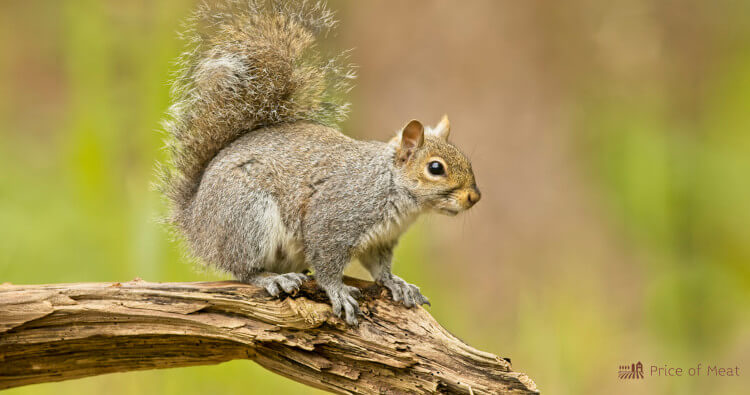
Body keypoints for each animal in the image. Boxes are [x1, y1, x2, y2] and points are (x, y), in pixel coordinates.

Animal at [160, 1, 482, 326]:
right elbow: (327, 262)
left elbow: (379, 268)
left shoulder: (380, 241)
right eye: (435, 168)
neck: (390, 188)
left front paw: (395, 283)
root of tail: (196, 222)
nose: (474, 197)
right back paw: (272, 279)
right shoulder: (333, 217)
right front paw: (337, 291)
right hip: (247, 216)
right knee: (243, 268)